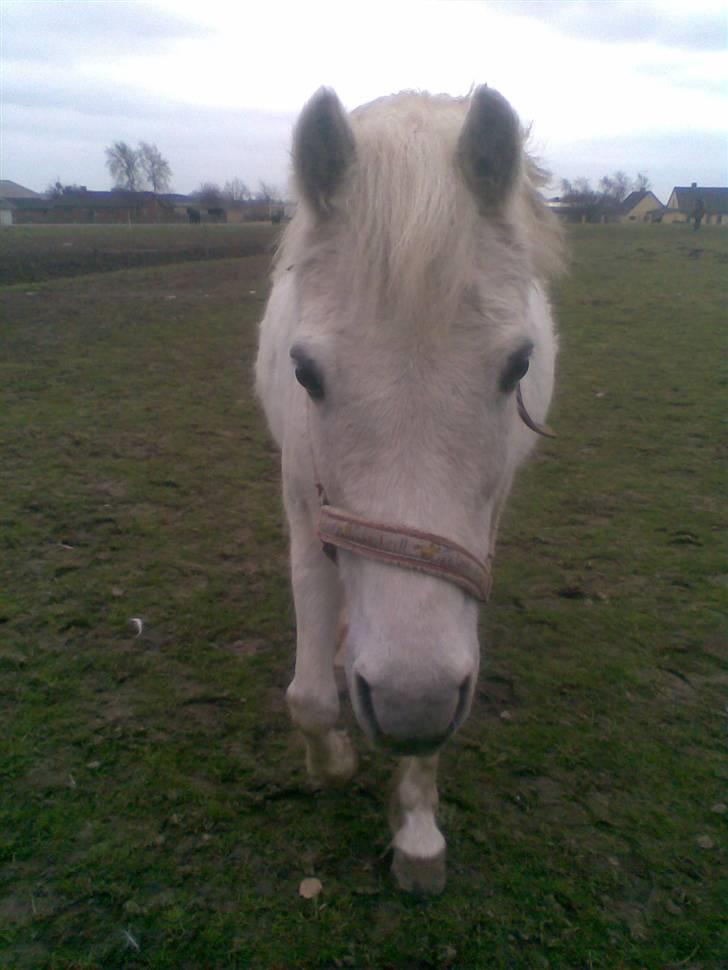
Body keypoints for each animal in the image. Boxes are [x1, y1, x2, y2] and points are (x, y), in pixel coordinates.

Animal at [256, 85, 564, 892]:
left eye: (519, 366)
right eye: (304, 372)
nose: (409, 705)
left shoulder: (477, 539)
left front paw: (418, 829)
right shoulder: (304, 509)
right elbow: (309, 698)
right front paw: (329, 759)